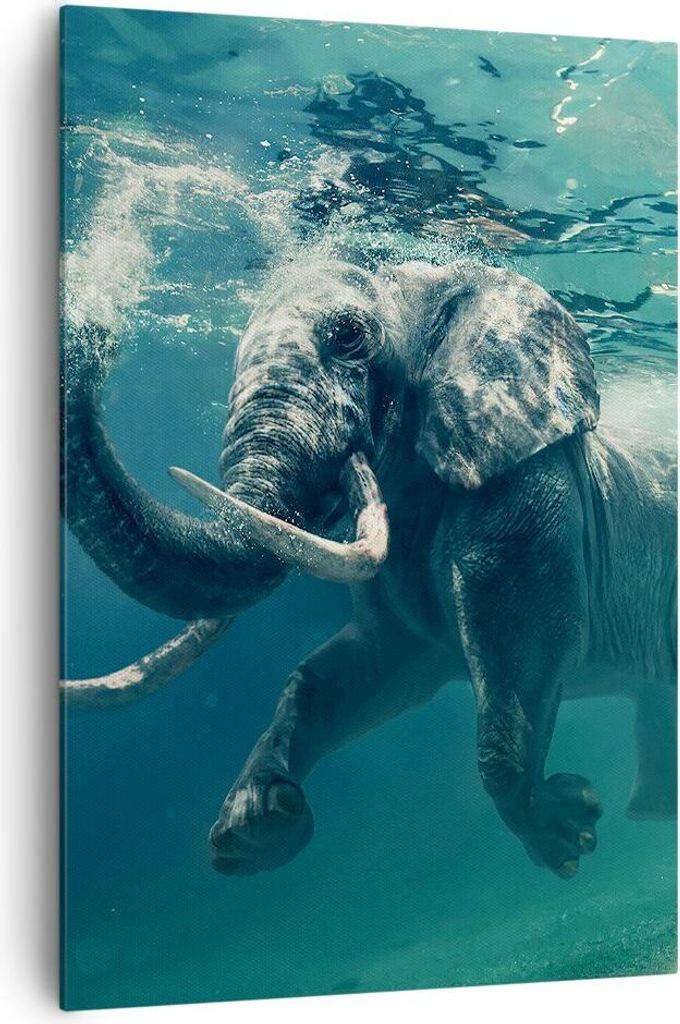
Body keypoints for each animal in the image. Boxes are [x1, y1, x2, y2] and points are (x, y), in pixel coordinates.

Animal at [62, 258, 677, 880]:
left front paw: (568, 832)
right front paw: (257, 824)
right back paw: (652, 811)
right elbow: (349, 673)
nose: (91, 335)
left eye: (349, 336)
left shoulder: (525, 494)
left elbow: (523, 653)